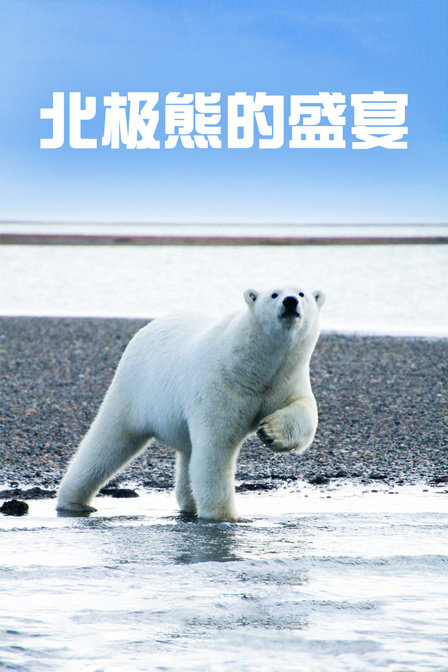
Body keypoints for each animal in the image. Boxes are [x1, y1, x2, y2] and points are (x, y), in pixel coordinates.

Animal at [56, 285, 325, 521]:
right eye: (274, 294)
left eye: (301, 293)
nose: (290, 302)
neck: (255, 366)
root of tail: (148, 327)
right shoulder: (222, 384)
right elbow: (216, 446)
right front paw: (226, 517)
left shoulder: (286, 378)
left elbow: (305, 412)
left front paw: (270, 432)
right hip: (135, 389)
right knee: (108, 441)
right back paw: (74, 502)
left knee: (186, 453)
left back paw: (189, 503)